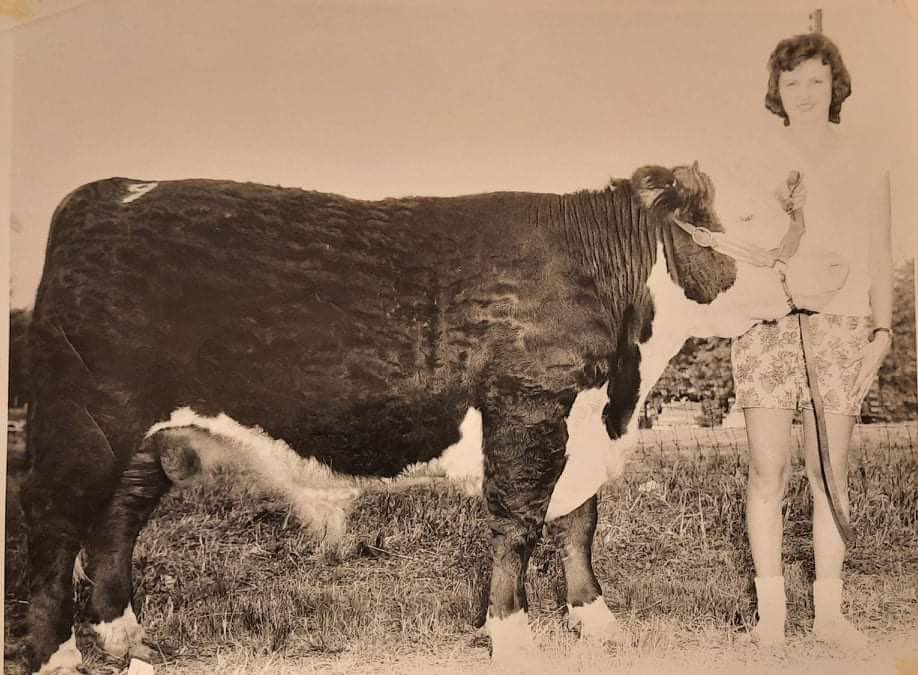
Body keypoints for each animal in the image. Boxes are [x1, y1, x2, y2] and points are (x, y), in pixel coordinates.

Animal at [22, 163, 847, 674]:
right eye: (744, 213)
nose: (828, 269)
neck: (626, 375)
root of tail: (107, 194)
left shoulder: (583, 423)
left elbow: (580, 521)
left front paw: (595, 620)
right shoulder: (528, 409)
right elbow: (519, 526)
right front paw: (512, 636)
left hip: (150, 440)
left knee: (115, 525)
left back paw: (125, 638)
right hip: (80, 426)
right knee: (54, 532)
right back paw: (60, 655)